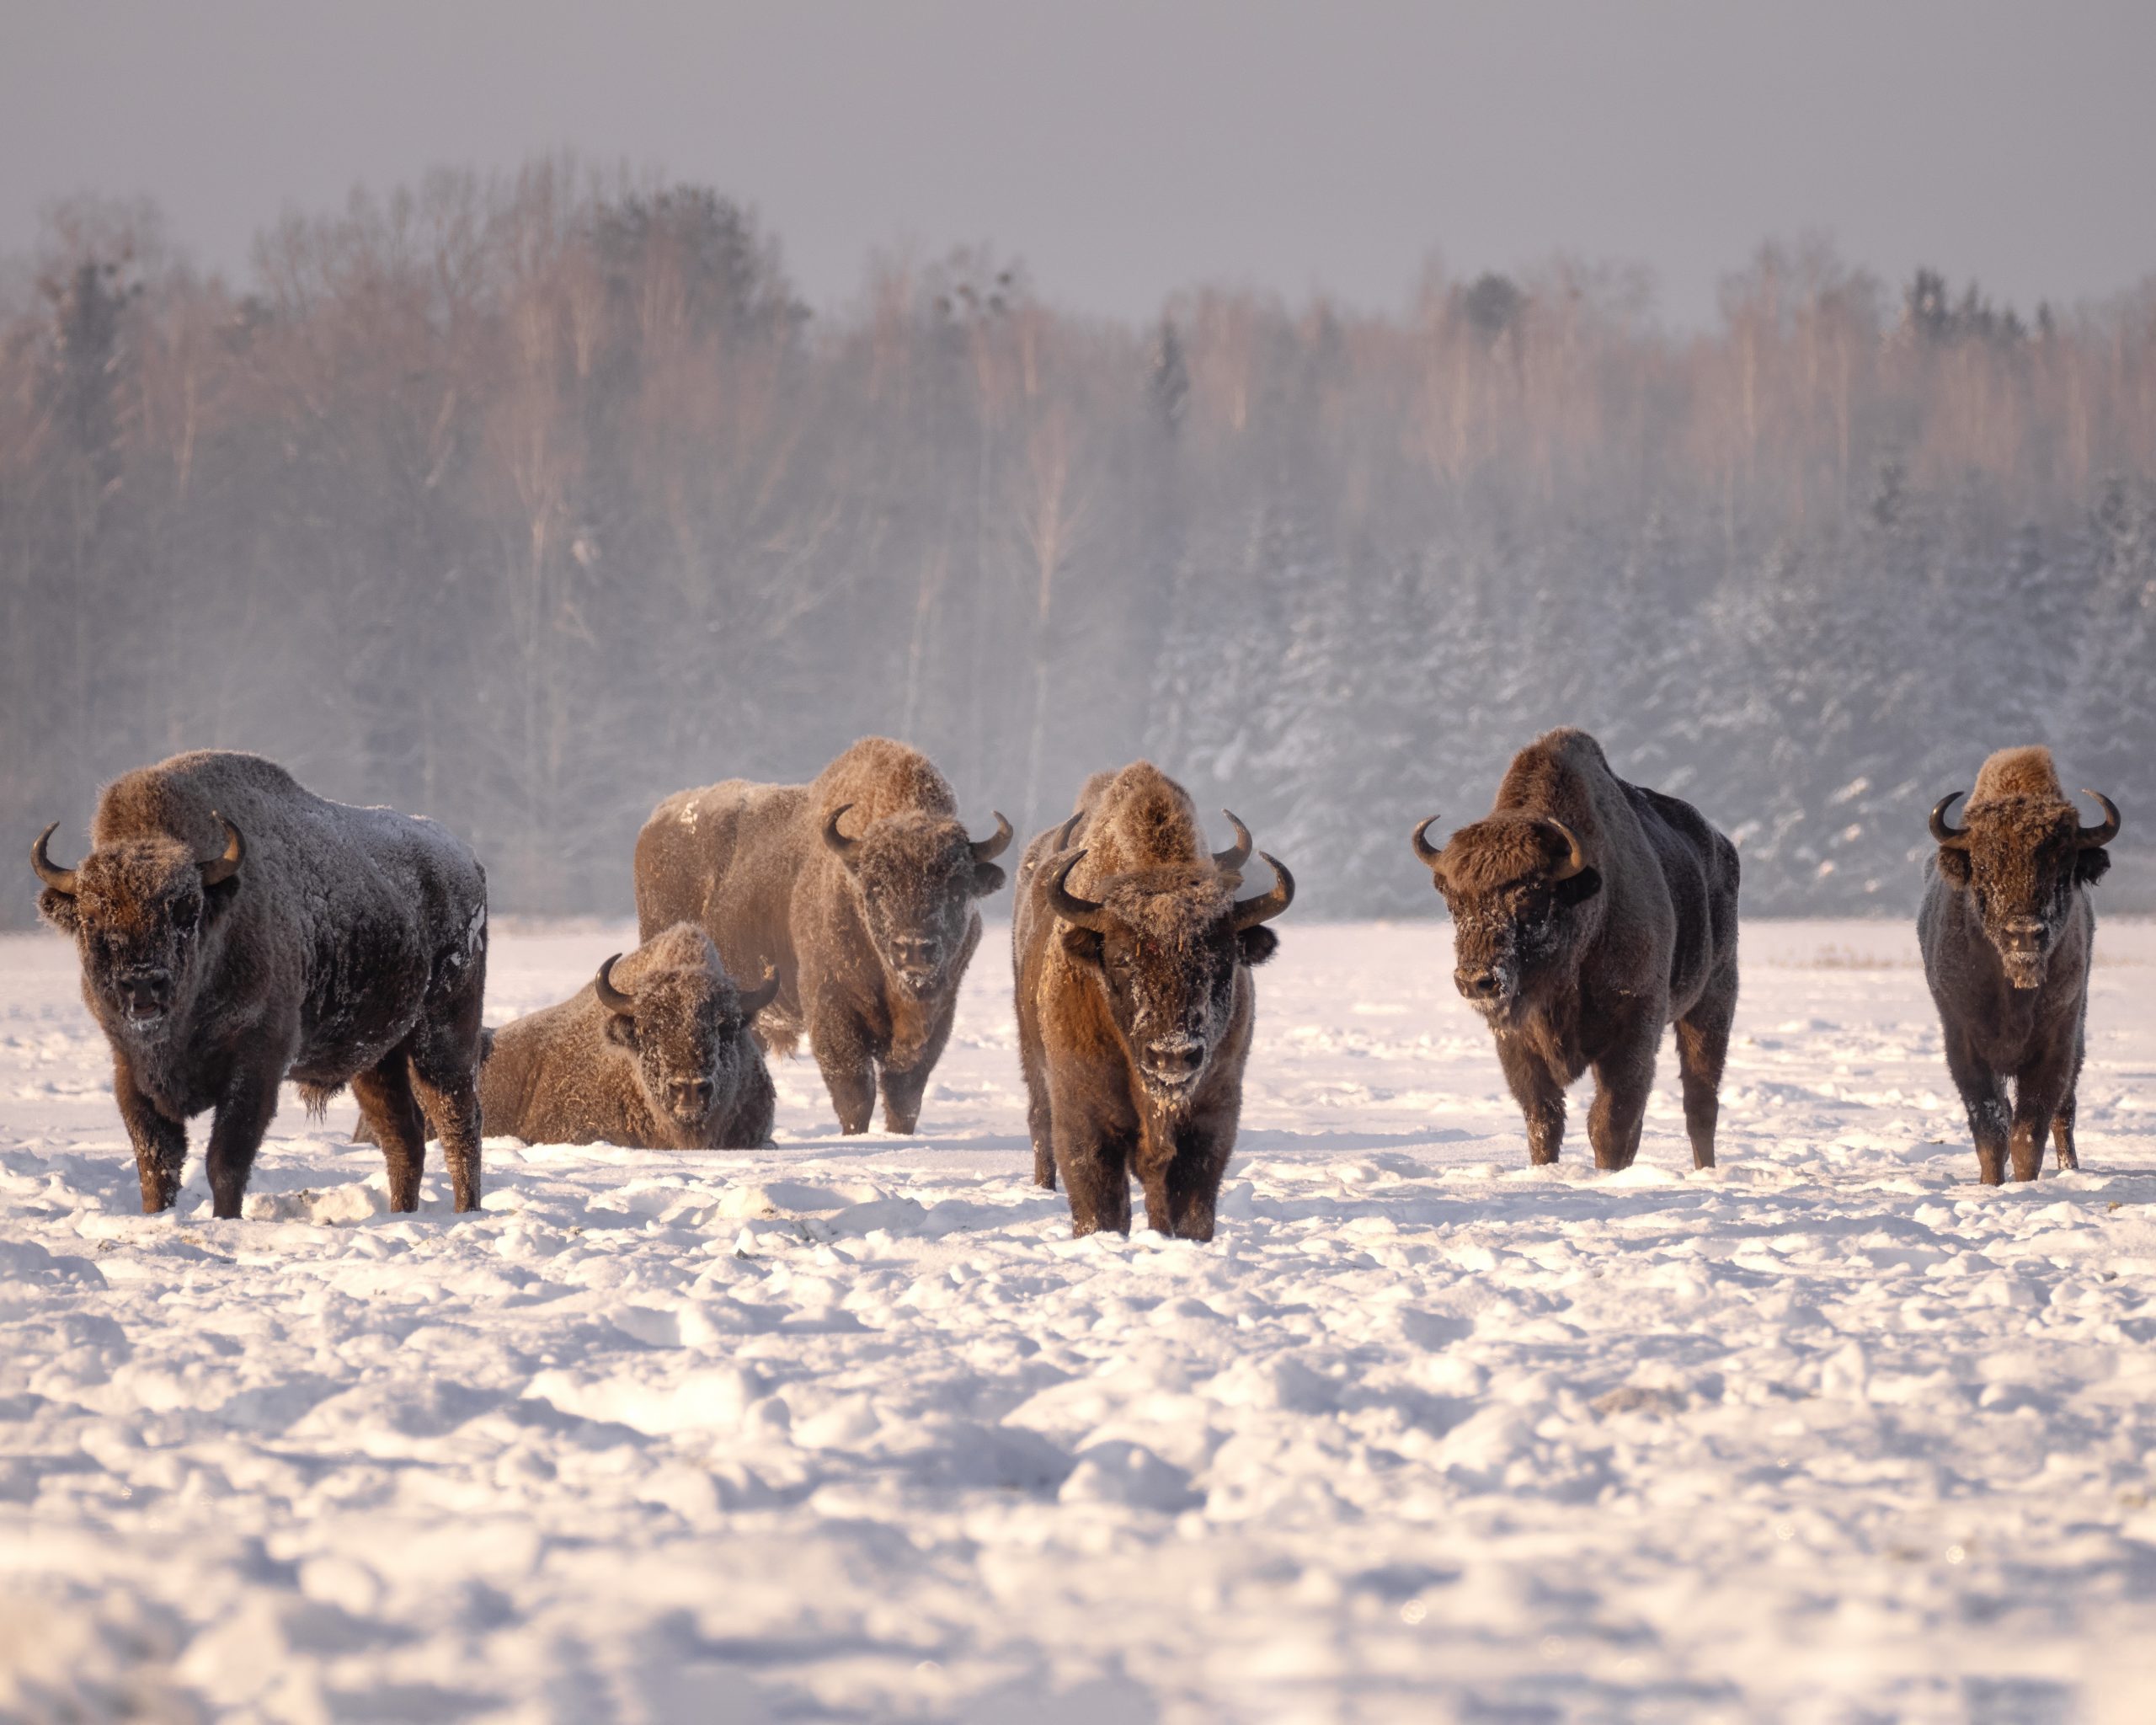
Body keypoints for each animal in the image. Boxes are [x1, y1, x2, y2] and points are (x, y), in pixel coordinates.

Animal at [33, 751, 487, 1217]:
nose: (142, 984)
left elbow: (226, 1159)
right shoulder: (130, 1068)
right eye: (90, 917)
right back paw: (401, 1212)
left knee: (458, 1123)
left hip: (444, 1037)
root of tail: (466, 859)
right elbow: (156, 1163)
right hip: (376, 1058)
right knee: (404, 1137)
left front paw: (225, 1219)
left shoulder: (256, 1062)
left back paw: (465, 1210)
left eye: (187, 911)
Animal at [634, 737, 1009, 1134]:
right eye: (875, 887)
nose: (914, 949)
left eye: (957, 886)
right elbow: (854, 1090)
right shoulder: (831, 1006)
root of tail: (656, 821)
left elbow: (905, 1095)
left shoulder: (938, 1014)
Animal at [1013, 763, 1293, 1240]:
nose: (1173, 1056)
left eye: (1221, 959)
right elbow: (1100, 1203)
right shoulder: (1084, 1113)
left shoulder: (1213, 1114)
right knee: (1038, 1122)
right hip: (1033, 1062)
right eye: (1121, 959)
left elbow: (1189, 1202)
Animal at [1411, 728, 1739, 1170]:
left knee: (1700, 1102)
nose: (1476, 981)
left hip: (1712, 1003)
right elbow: (1544, 1119)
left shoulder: (1634, 1027)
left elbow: (1609, 1122)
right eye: (1453, 901)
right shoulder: (1517, 1043)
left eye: (1530, 896)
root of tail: (1723, 848)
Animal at [1918, 746, 2119, 1183]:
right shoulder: (1965, 1043)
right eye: (1984, 867)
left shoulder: (2056, 1043)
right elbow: (1991, 1128)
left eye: (2064, 868)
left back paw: (2070, 1169)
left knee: (2064, 1113)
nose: (2025, 934)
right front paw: (1990, 1184)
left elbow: (2030, 1130)